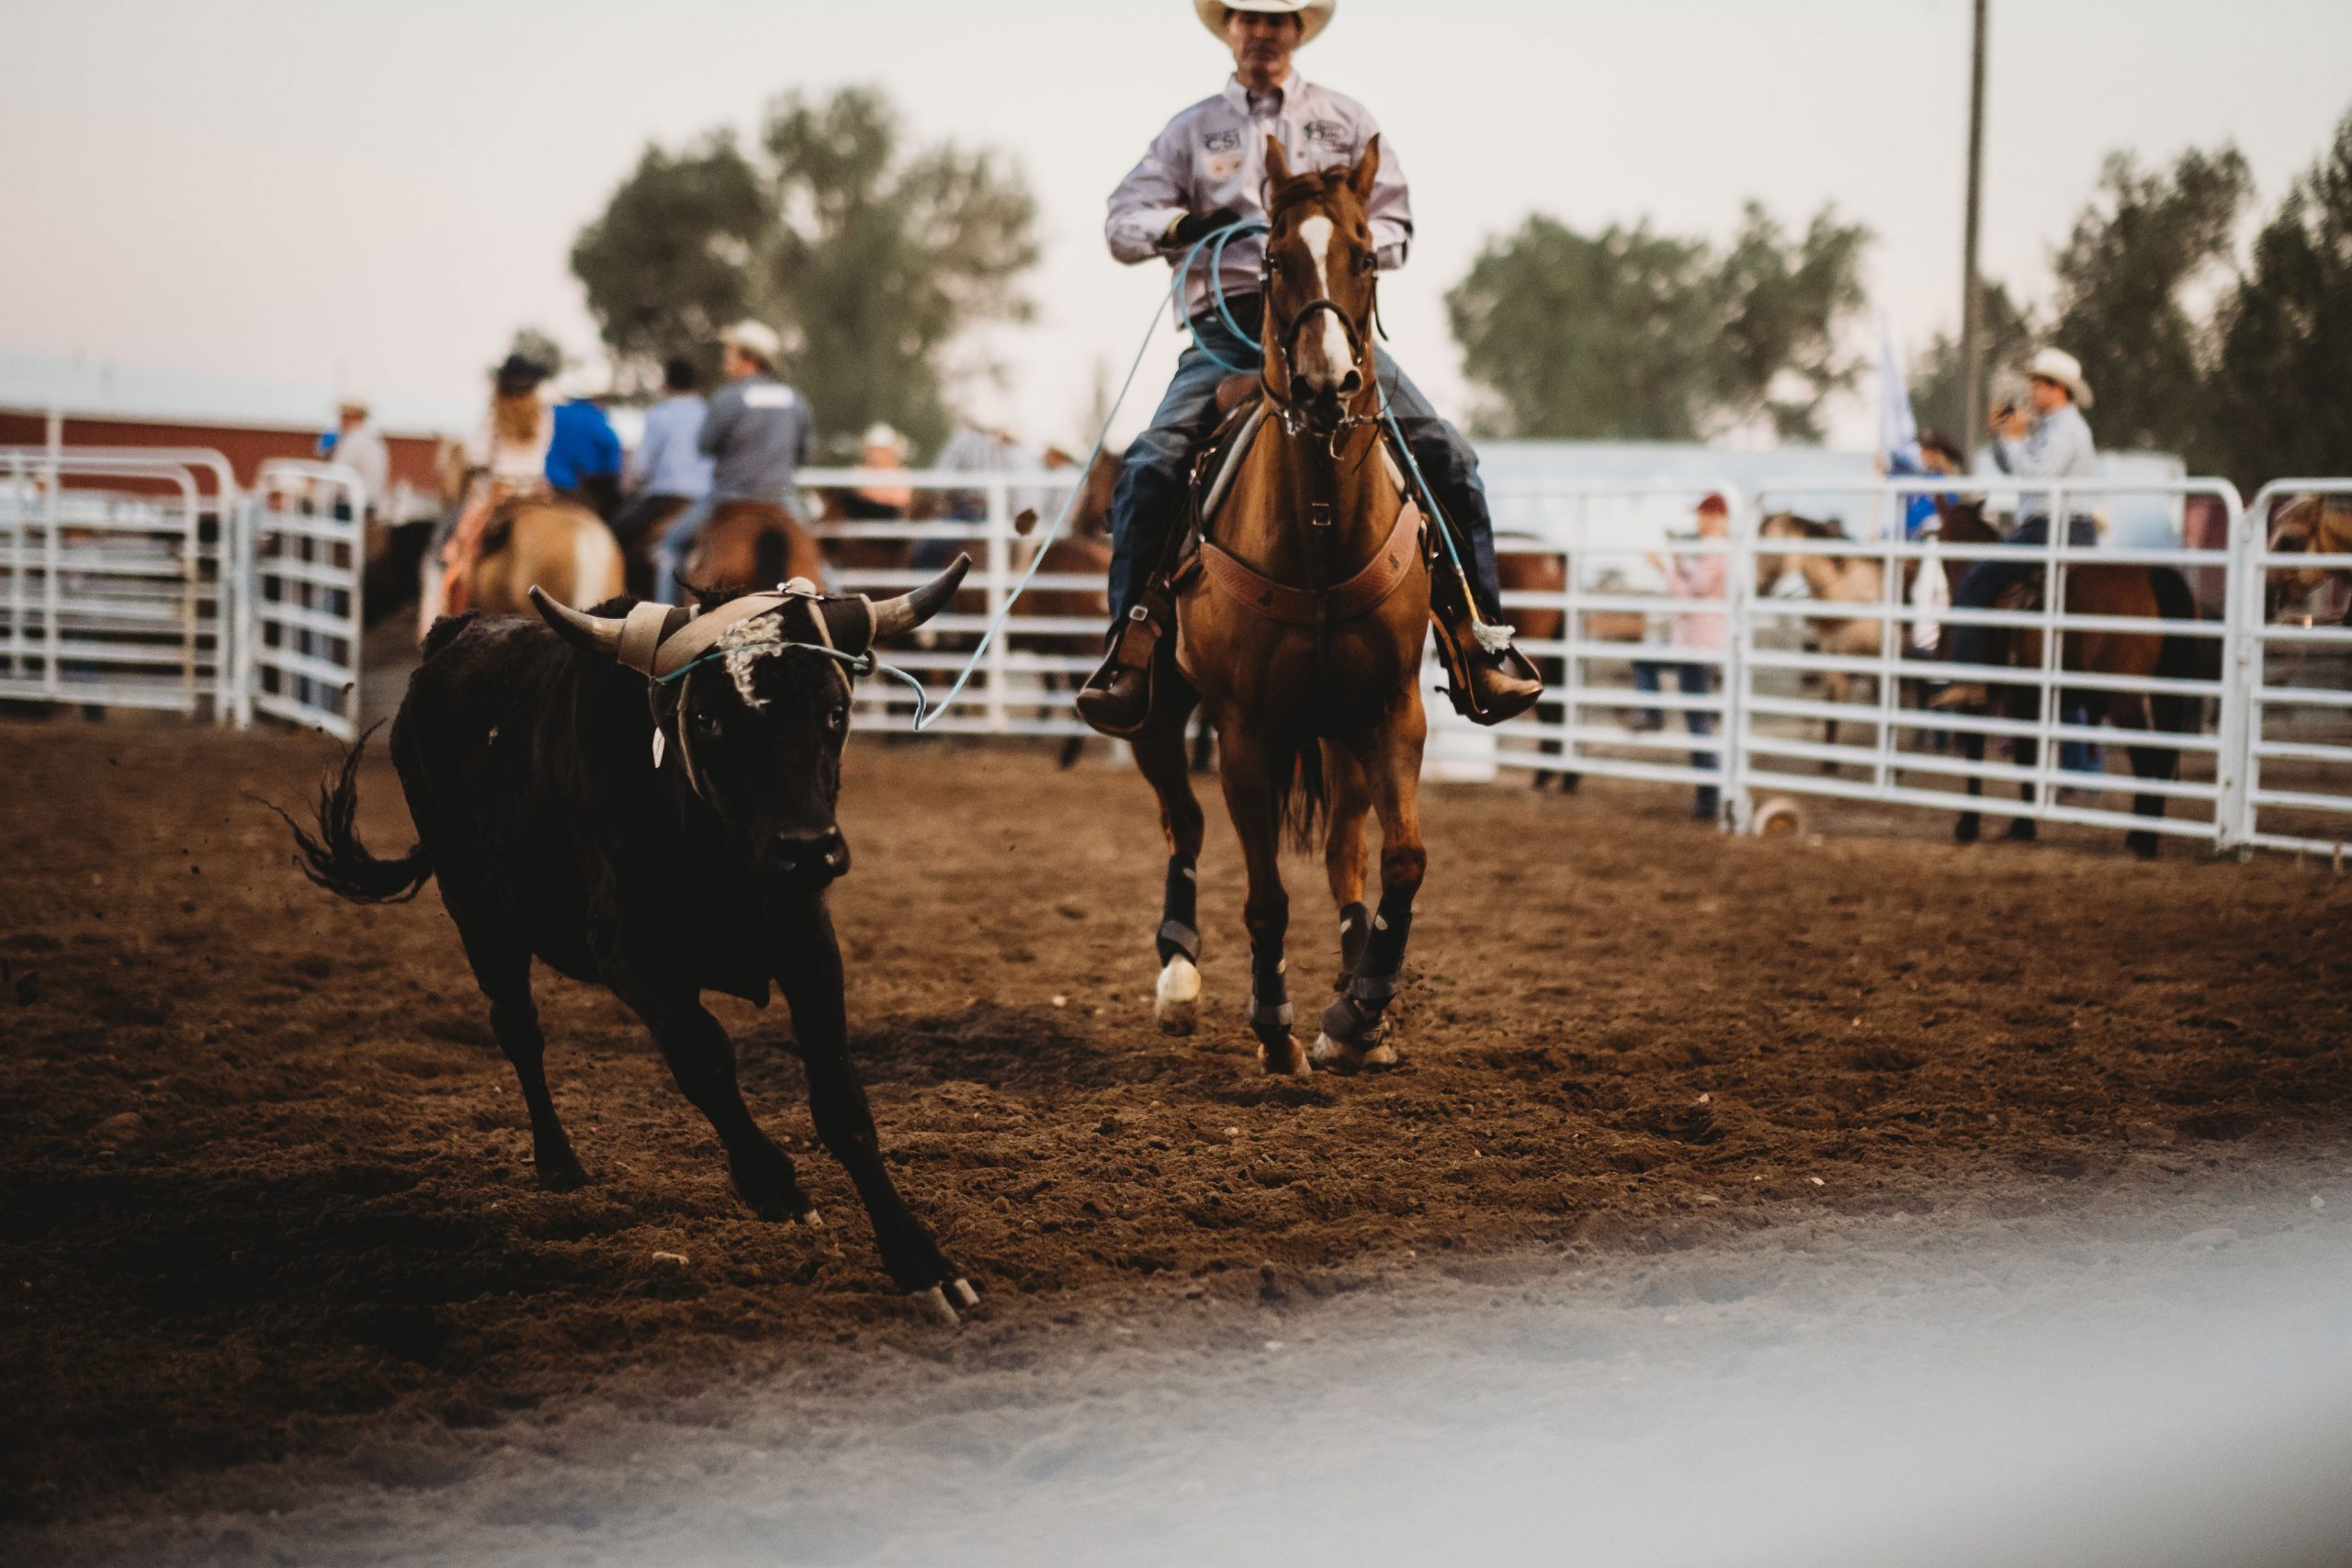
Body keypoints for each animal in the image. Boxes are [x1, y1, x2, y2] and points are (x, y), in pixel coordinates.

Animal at [1128, 141, 1420, 1081]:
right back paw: (1179, 975)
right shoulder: (1246, 730)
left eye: (1365, 257)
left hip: (1340, 733)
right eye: (1274, 260)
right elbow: (1262, 896)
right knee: (1182, 822)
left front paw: (1360, 1009)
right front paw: (1274, 1022)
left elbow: (1401, 860)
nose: (1329, 386)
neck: (1318, 532)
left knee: (1344, 851)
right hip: (1158, 714)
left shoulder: (1391, 709)